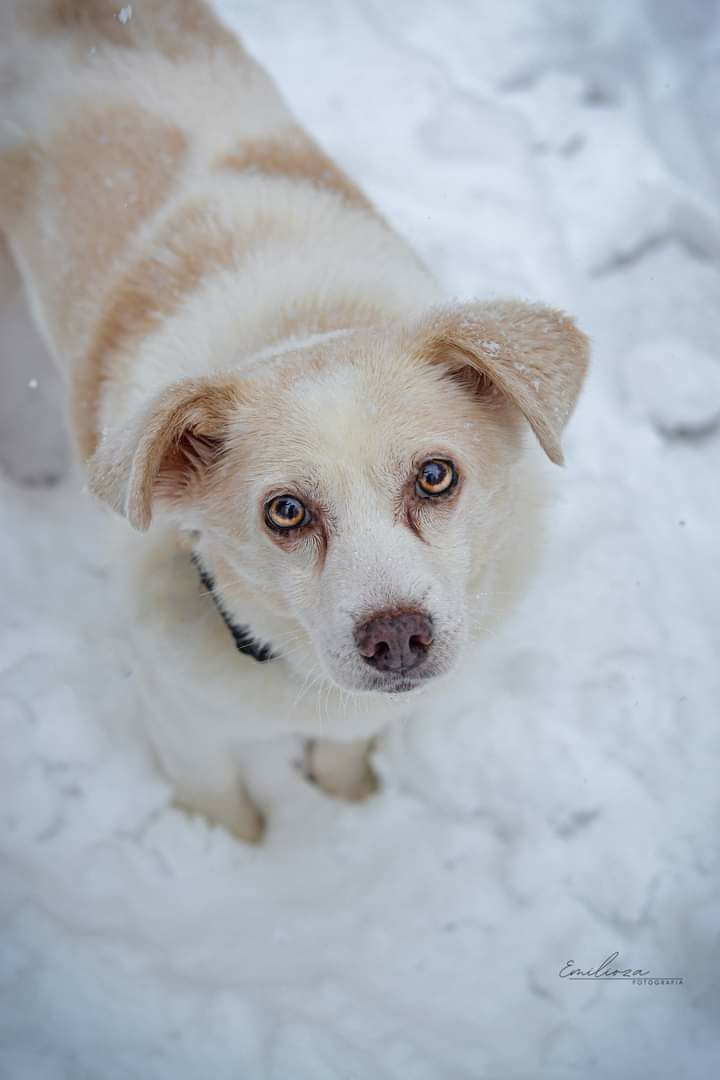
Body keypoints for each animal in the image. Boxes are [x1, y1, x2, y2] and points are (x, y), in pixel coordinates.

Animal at [0, 2, 587, 842]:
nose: (396, 636)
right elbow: (221, 811)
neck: (299, 321)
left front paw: (344, 802)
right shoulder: (181, 726)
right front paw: (240, 859)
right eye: (285, 511)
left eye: (435, 475)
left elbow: (343, 756)